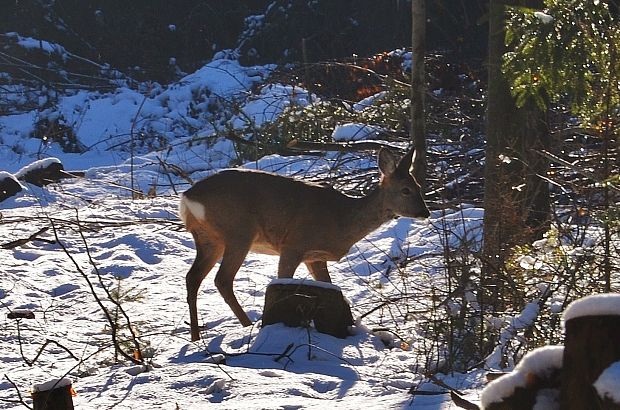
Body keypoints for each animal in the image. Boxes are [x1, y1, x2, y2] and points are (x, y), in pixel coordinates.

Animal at [180, 147, 432, 340]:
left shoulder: (315, 257)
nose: (425, 212)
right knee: (222, 279)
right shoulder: (293, 244)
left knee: (193, 277)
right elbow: (282, 282)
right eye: (406, 190)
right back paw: (246, 325)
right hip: (238, 232)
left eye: (419, 187)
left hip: (209, 239)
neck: (342, 220)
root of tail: (188, 197)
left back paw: (196, 336)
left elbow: (330, 286)